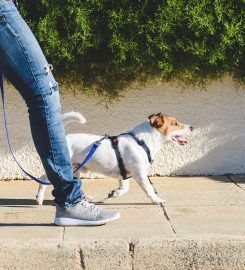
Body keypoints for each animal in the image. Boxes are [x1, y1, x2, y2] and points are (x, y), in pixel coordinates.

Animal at [35, 112, 192, 205]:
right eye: (175, 123)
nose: (191, 127)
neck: (142, 141)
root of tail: (63, 139)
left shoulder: (124, 174)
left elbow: (125, 188)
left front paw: (115, 193)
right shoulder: (139, 174)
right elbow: (149, 188)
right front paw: (156, 200)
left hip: (76, 170)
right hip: (62, 168)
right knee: (43, 179)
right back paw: (39, 199)